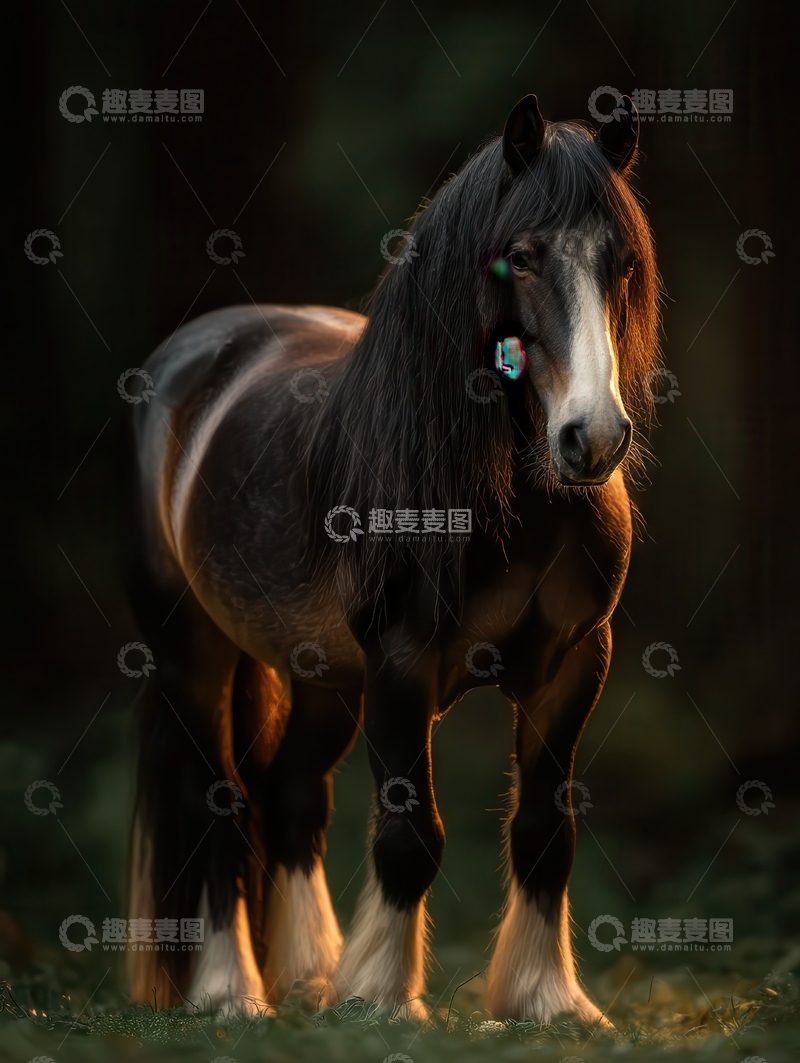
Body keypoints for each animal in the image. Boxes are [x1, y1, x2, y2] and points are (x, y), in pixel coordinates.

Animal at [125, 93, 659, 1026]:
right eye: (521, 256)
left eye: (622, 263)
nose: (591, 439)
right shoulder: (403, 665)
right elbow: (412, 837)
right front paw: (381, 998)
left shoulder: (571, 666)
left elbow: (544, 831)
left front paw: (546, 1000)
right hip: (192, 654)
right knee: (218, 805)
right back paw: (232, 992)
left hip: (326, 677)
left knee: (291, 796)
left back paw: (306, 977)